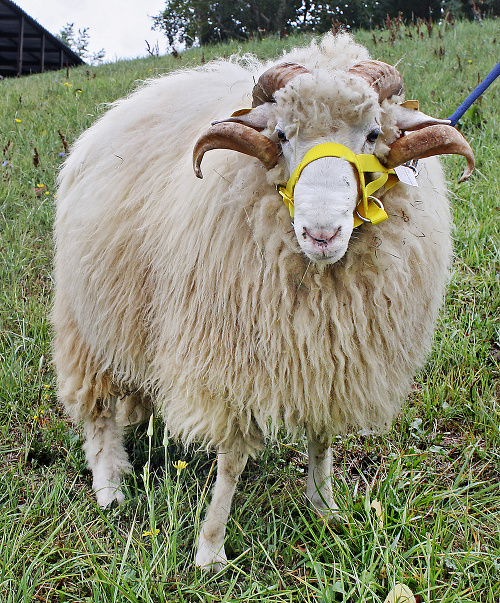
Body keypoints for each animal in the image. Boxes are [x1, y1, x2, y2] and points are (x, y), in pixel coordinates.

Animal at [52, 33, 474, 572]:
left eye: (375, 133)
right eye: (281, 134)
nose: (321, 233)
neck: (320, 280)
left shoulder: (332, 356)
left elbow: (322, 435)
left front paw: (324, 506)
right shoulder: (232, 359)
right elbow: (231, 460)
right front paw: (211, 548)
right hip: (86, 315)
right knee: (97, 409)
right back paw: (109, 484)